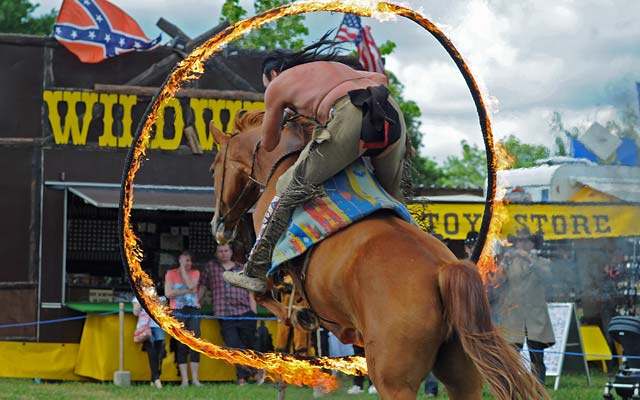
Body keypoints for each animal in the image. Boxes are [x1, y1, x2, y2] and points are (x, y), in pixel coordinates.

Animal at [210, 110, 552, 400]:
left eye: (214, 166)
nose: (218, 225)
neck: (284, 160)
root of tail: (443, 270)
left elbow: (263, 291)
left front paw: (295, 312)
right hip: (463, 377)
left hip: (394, 380)